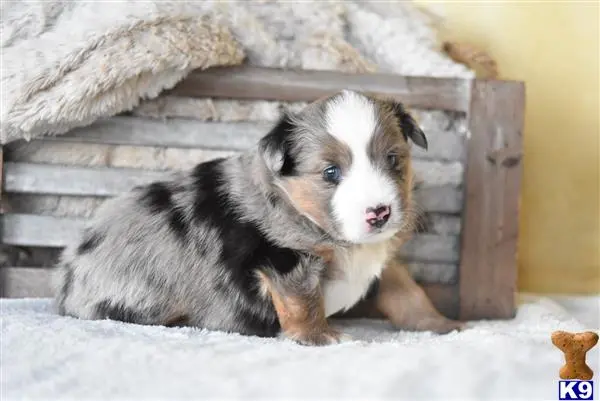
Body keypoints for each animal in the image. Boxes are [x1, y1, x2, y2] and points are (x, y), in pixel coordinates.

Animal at [54, 90, 462, 344]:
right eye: (330, 172)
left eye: (393, 159)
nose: (379, 212)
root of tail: (67, 276)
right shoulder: (281, 256)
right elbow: (302, 297)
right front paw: (320, 336)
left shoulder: (382, 255)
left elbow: (408, 291)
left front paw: (442, 324)